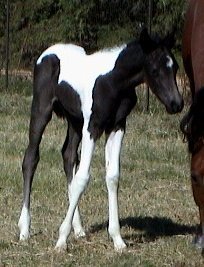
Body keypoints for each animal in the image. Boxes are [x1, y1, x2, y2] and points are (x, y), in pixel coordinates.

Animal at [17, 29, 183, 251]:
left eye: (175, 67)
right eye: (155, 70)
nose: (177, 104)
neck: (113, 82)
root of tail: (47, 52)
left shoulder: (117, 126)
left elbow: (112, 176)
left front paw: (118, 239)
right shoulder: (93, 126)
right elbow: (82, 178)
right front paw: (61, 240)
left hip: (75, 120)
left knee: (68, 156)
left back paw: (78, 228)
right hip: (41, 110)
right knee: (31, 159)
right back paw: (25, 229)